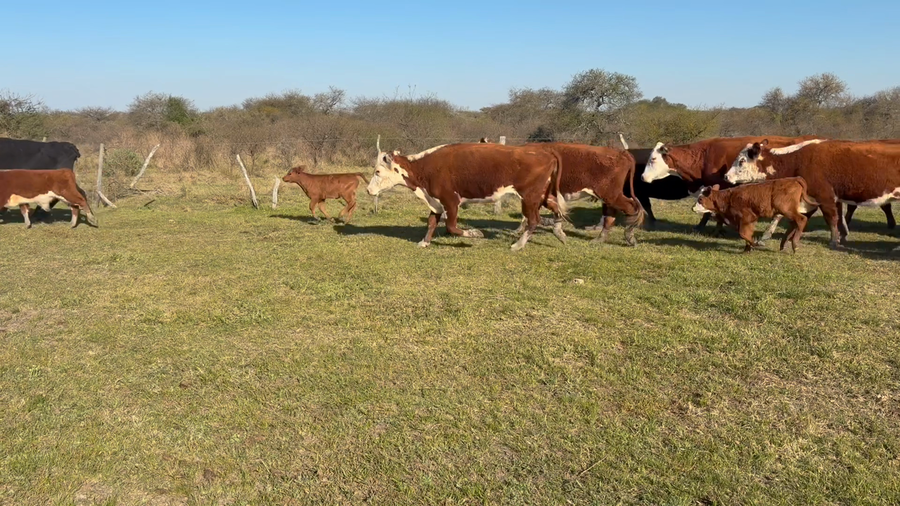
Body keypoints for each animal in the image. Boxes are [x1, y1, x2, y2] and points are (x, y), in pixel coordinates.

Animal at [366, 142, 567, 251]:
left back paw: (518, 245)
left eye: (377, 171)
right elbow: (431, 222)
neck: (425, 168)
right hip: (542, 196)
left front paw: (475, 234)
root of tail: (545, 152)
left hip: (529, 197)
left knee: (534, 220)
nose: (368, 190)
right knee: (556, 210)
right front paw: (425, 242)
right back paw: (560, 234)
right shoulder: (436, 202)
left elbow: (452, 227)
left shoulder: (451, 201)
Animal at [725, 139, 900, 248]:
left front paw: (834, 241)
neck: (798, 160)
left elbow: (832, 218)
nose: (726, 176)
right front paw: (766, 237)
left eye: (741, 161)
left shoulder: (824, 196)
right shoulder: (806, 198)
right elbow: (780, 215)